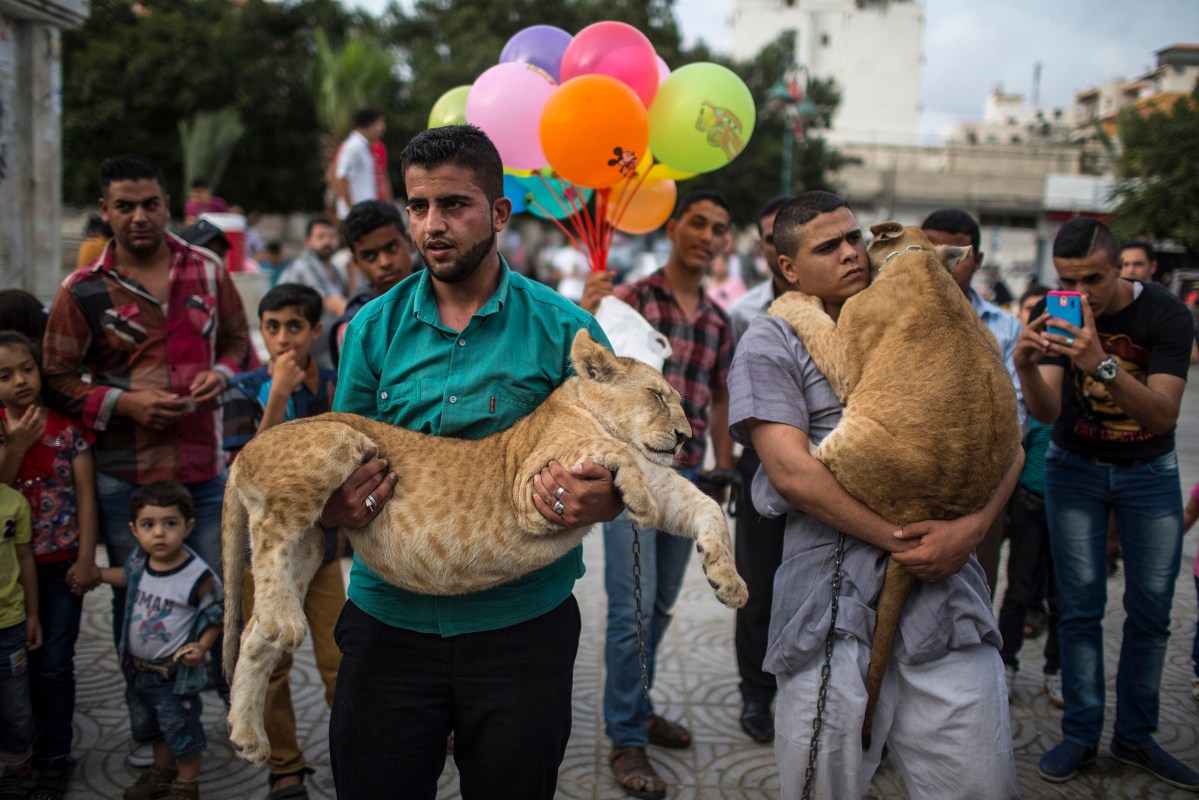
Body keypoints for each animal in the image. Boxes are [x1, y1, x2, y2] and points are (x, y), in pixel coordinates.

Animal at [221, 328, 749, 763]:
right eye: (657, 396)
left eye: (678, 401)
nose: (685, 437)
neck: (585, 409)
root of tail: (243, 451)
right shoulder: (529, 483)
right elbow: (616, 454)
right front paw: (638, 501)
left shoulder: (651, 480)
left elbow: (704, 506)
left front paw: (729, 581)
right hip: (336, 442)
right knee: (269, 539)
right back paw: (285, 624)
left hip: (309, 545)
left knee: (253, 633)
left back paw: (248, 736)